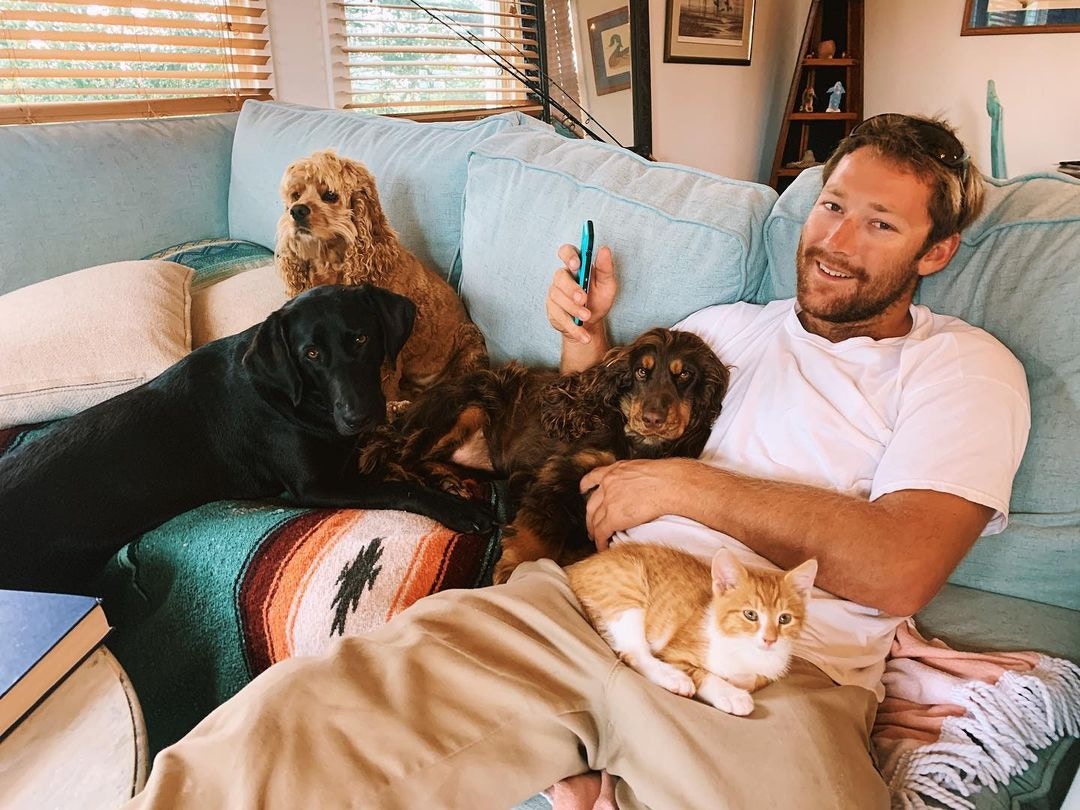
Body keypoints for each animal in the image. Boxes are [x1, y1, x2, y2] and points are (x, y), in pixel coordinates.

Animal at [0, 285, 492, 594]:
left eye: (361, 339)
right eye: (311, 353)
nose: (359, 416)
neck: (292, 398)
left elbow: (398, 461)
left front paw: (443, 478)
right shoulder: (318, 485)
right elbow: (398, 488)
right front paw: (456, 507)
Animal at [360, 328, 729, 584]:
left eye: (685, 375)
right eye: (641, 372)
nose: (653, 419)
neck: (636, 444)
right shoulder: (562, 470)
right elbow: (542, 527)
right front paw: (516, 566)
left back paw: (448, 481)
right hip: (470, 403)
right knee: (394, 458)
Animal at [566, 543, 817, 716]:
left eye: (784, 619)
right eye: (750, 615)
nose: (769, 639)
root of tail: (576, 567)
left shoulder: (766, 672)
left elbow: (751, 679)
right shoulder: (672, 652)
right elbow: (702, 673)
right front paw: (731, 694)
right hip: (627, 590)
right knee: (633, 653)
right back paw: (675, 678)